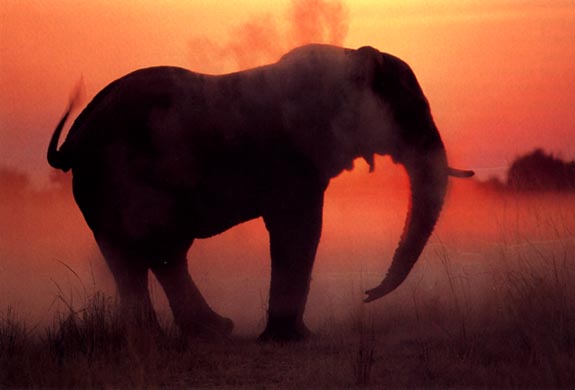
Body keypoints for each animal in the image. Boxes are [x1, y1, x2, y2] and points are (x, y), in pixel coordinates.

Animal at [48, 43, 472, 342]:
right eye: (408, 112)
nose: (367, 294)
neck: (349, 58)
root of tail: (74, 139)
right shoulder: (292, 159)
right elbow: (300, 230)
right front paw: (292, 339)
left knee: (145, 255)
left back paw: (196, 333)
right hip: (117, 179)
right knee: (148, 249)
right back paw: (186, 334)